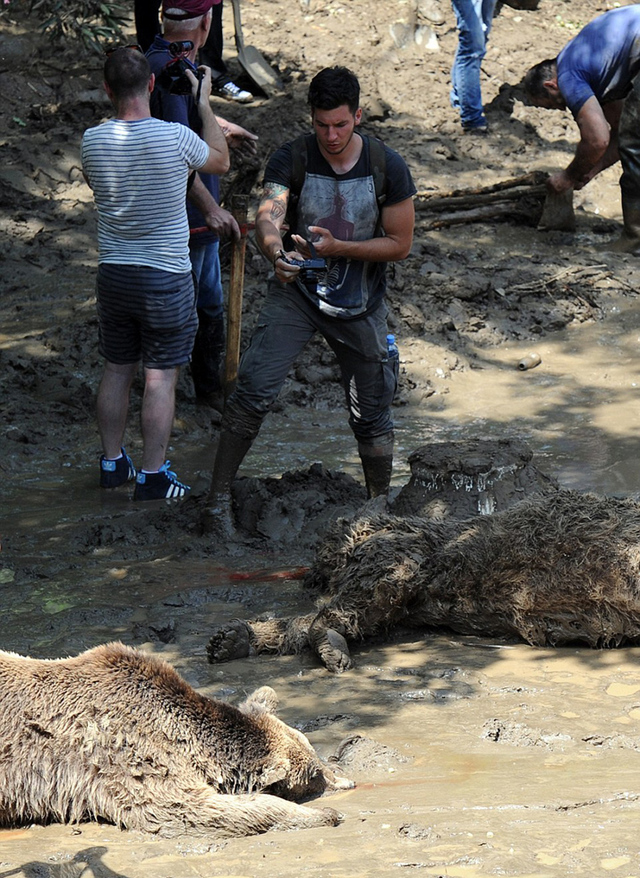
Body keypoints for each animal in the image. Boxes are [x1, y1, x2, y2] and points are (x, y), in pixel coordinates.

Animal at [0, 644, 350, 836]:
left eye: (314, 755)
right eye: (313, 775)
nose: (347, 782)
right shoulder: (132, 757)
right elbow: (180, 807)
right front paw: (325, 814)